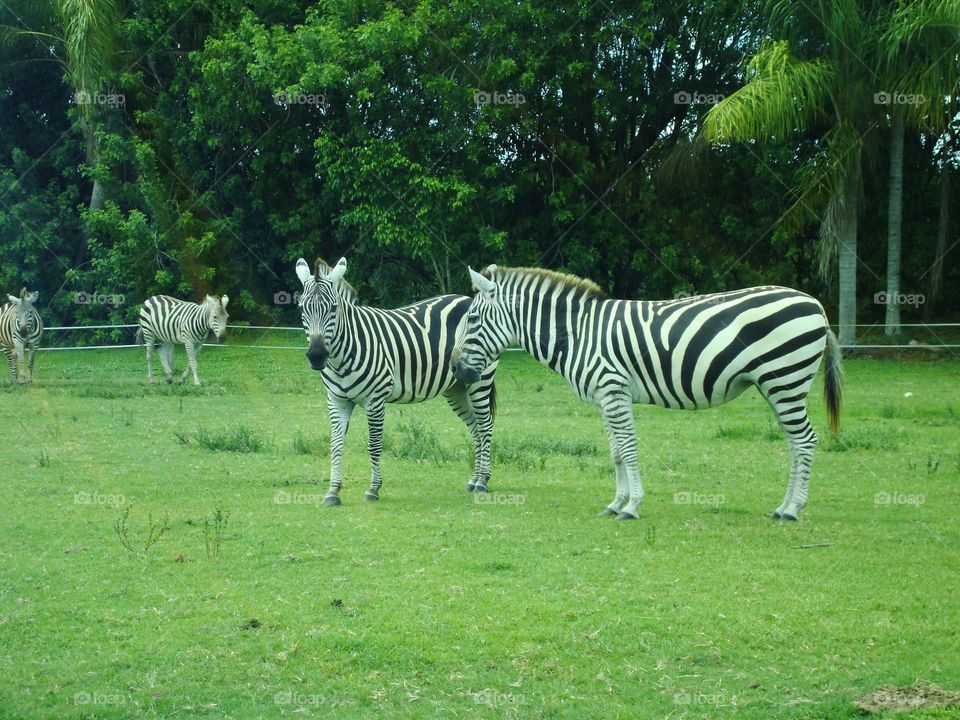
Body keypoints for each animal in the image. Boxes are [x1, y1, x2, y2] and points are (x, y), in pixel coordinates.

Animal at [295, 257, 498, 505]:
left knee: (486, 425)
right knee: (475, 427)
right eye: (302, 308)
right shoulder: (336, 400)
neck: (341, 357)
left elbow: (374, 445)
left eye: (333, 308)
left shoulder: (375, 400)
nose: (316, 356)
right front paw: (332, 492)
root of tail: (468, 298)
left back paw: (483, 482)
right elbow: (335, 445)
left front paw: (373, 489)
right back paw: (474, 479)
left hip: (480, 381)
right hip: (457, 386)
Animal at [452, 266, 842, 521]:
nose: (455, 369)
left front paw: (631, 506)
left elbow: (627, 448)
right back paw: (784, 506)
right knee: (795, 442)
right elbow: (615, 453)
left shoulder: (613, 389)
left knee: (805, 440)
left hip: (786, 379)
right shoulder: (607, 396)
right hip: (775, 385)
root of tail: (815, 304)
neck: (579, 333)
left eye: (471, 320)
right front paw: (615, 503)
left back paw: (792, 509)